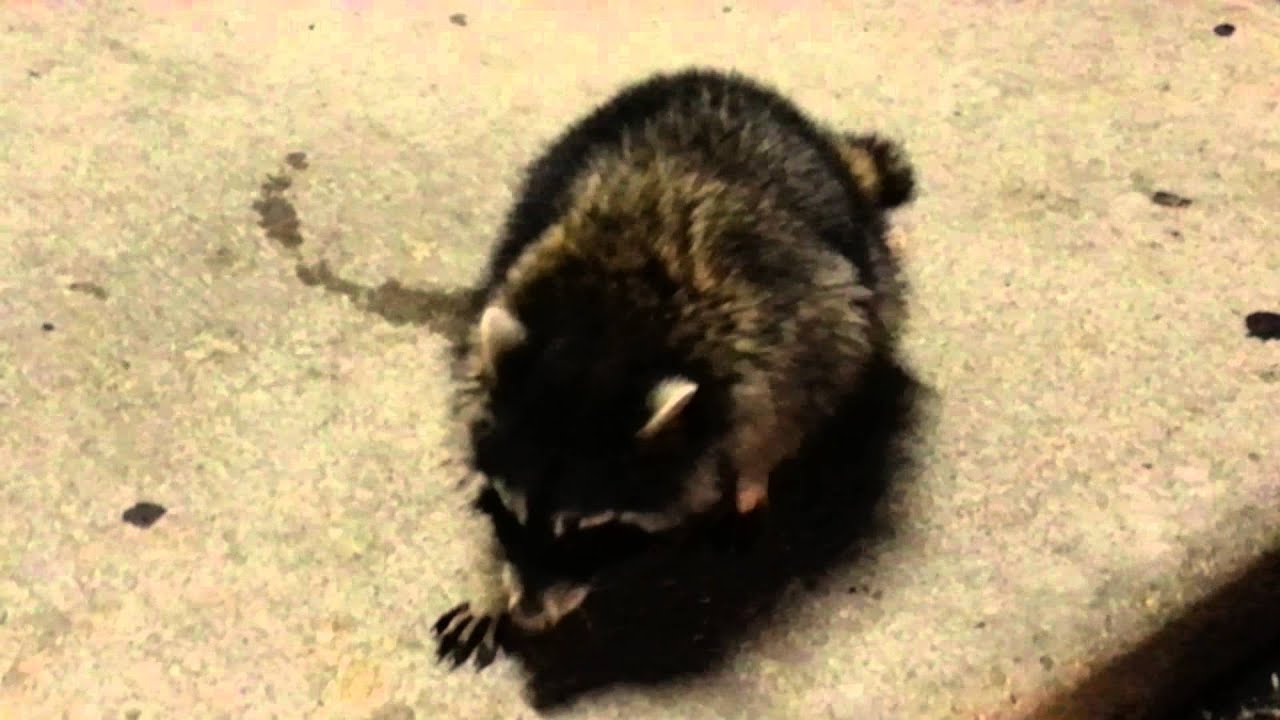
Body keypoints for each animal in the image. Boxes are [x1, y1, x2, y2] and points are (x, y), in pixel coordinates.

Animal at [435, 67, 917, 662]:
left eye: (589, 534)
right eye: (512, 514)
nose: (528, 613)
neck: (607, 331)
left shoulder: (797, 326)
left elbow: (790, 408)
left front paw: (750, 478)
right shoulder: (511, 284)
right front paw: (490, 579)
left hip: (859, 258)